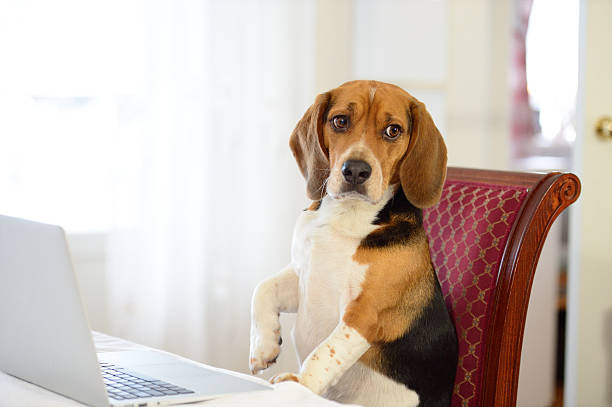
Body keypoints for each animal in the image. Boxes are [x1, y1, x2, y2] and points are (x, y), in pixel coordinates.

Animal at [249, 80, 454, 407]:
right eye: (340, 121)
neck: (345, 216)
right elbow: (263, 288)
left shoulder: (363, 314)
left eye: (393, 130)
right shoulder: (303, 278)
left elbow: (323, 353)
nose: (356, 170)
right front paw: (263, 345)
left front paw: (299, 384)